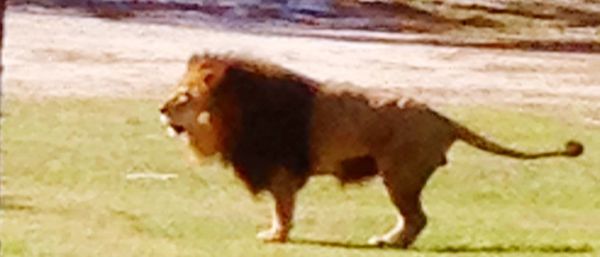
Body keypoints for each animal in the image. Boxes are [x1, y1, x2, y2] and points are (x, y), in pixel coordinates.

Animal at [159, 52, 580, 248]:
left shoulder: (282, 169)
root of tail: (444, 118)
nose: (161, 109)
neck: (230, 112)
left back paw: (389, 243)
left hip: (400, 176)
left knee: (417, 218)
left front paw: (275, 236)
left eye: (183, 96)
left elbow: (283, 209)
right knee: (415, 219)